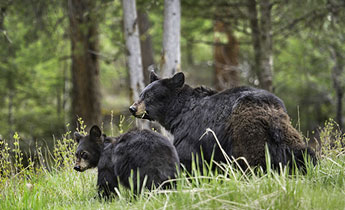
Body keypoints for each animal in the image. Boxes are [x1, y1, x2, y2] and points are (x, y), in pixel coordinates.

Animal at [129, 72, 314, 172]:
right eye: (141, 94)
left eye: (149, 96)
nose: (132, 108)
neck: (180, 112)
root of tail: (270, 111)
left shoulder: (190, 133)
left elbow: (187, 157)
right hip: (287, 134)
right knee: (302, 153)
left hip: (246, 132)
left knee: (253, 158)